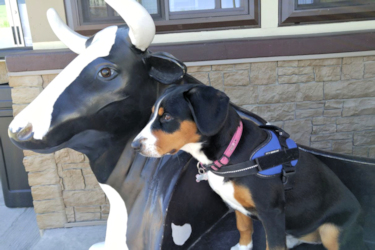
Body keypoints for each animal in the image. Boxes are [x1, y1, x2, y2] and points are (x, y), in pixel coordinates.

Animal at [134, 84, 368, 250]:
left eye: (167, 117)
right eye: (153, 114)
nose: (135, 146)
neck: (230, 154)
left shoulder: (272, 212)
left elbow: (274, 245)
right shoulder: (237, 204)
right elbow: (244, 227)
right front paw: (243, 247)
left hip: (332, 230)